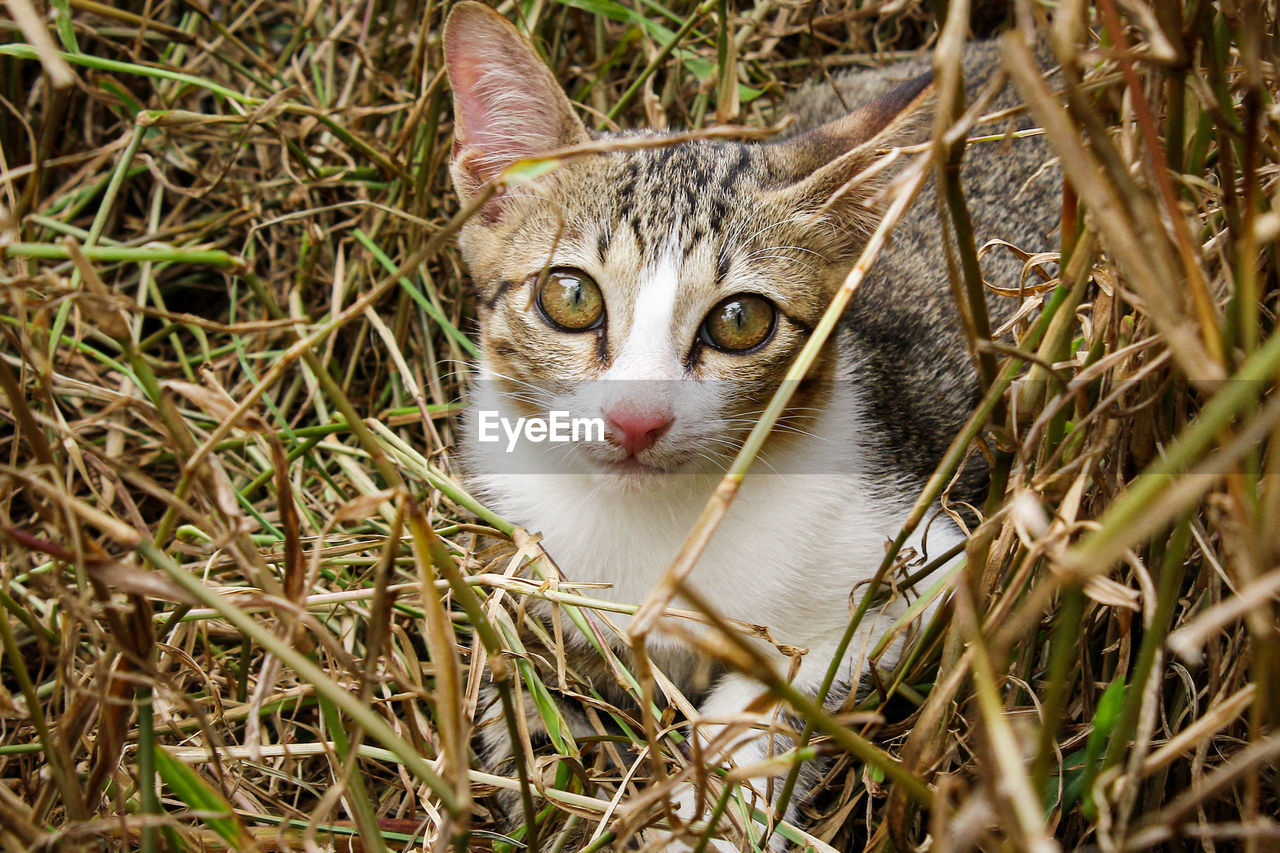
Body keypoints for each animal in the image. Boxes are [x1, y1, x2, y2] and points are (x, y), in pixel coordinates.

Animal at [440, 4, 1059, 845]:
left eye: (741, 320)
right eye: (569, 297)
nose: (637, 419)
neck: (658, 522)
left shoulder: (936, 556)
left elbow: (782, 683)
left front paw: (705, 811)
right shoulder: (511, 537)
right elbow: (519, 660)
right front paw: (547, 760)